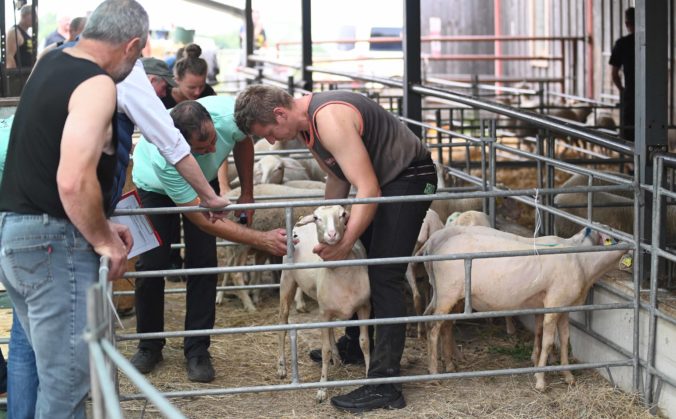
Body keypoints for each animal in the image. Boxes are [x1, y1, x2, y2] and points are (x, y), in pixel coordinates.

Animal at [274, 207, 370, 404]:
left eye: (342, 214)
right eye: (317, 217)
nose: (332, 234)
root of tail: (301, 220)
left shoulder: (364, 307)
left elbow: (364, 343)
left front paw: (369, 375)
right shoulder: (324, 314)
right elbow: (324, 350)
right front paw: (322, 389)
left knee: (331, 331)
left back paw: (338, 359)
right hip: (287, 280)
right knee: (282, 323)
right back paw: (281, 367)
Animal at [420, 225, 624, 392]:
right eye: (609, 237)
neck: (582, 260)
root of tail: (433, 244)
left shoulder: (562, 306)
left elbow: (564, 339)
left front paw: (567, 375)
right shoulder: (553, 303)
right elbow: (548, 342)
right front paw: (540, 378)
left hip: (452, 296)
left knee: (444, 325)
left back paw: (449, 365)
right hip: (447, 293)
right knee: (433, 328)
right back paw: (434, 373)